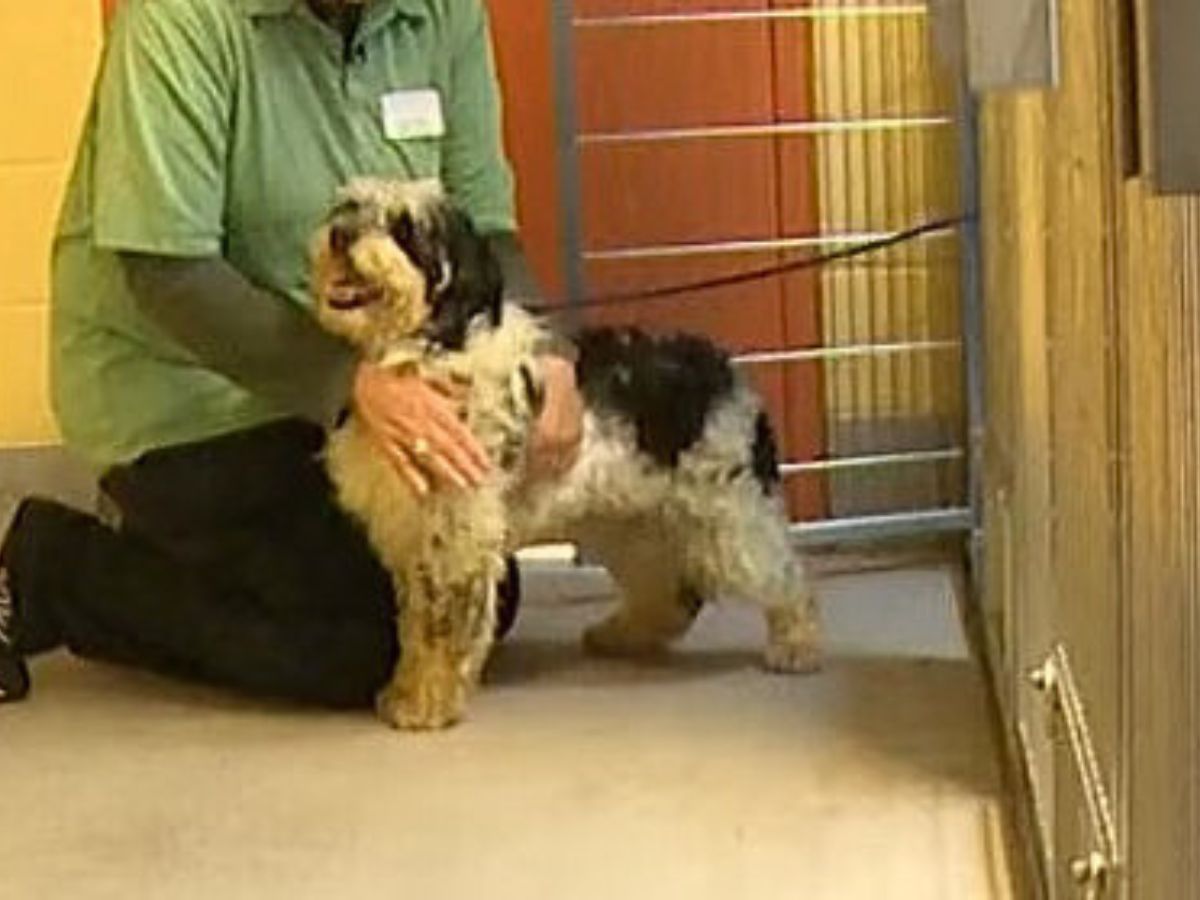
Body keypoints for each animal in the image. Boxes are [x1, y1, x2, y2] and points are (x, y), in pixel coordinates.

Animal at [309, 177, 820, 734]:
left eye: (404, 228)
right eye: (347, 206)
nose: (339, 235)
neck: (436, 346)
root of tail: (728, 371)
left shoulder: (457, 535)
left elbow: (444, 631)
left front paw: (427, 705)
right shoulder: (415, 540)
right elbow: (417, 629)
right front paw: (405, 692)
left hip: (730, 519)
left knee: (789, 578)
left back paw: (796, 645)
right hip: (636, 524)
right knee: (670, 593)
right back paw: (621, 635)